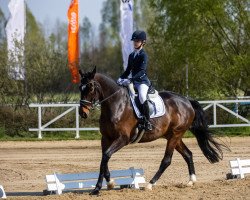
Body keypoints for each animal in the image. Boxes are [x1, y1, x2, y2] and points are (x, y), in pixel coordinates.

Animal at [78, 66, 225, 195]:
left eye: (90, 87)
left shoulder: (123, 139)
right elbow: (104, 158)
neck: (116, 104)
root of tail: (187, 101)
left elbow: (106, 156)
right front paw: (106, 184)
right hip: (173, 136)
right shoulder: (106, 138)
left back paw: (150, 184)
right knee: (188, 154)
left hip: (175, 135)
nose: (82, 113)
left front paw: (100, 187)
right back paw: (191, 181)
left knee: (166, 160)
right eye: (80, 87)